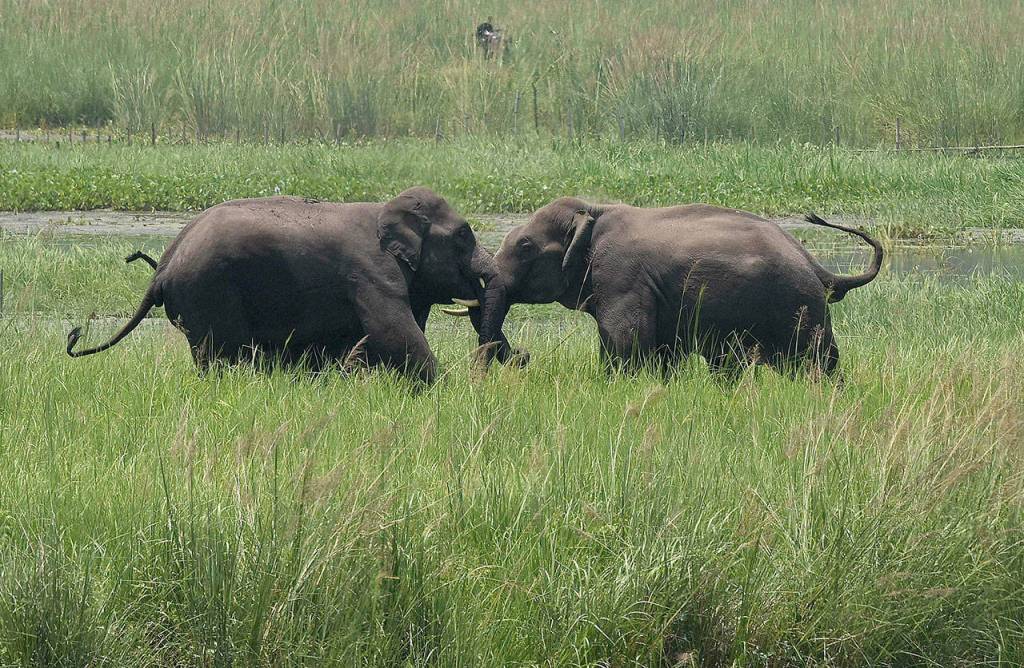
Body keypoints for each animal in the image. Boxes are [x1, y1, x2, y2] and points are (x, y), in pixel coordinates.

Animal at [67, 187, 517, 383]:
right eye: (464, 235)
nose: (525, 357)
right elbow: (394, 333)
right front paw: (442, 388)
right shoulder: (371, 273)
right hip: (208, 291)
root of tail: (162, 267)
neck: (388, 209)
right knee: (220, 354)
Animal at [459, 198, 883, 378]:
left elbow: (626, 341)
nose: (524, 356)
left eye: (525, 247)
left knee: (815, 364)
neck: (593, 209)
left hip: (798, 306)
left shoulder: (621, 275)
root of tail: (820, 268)